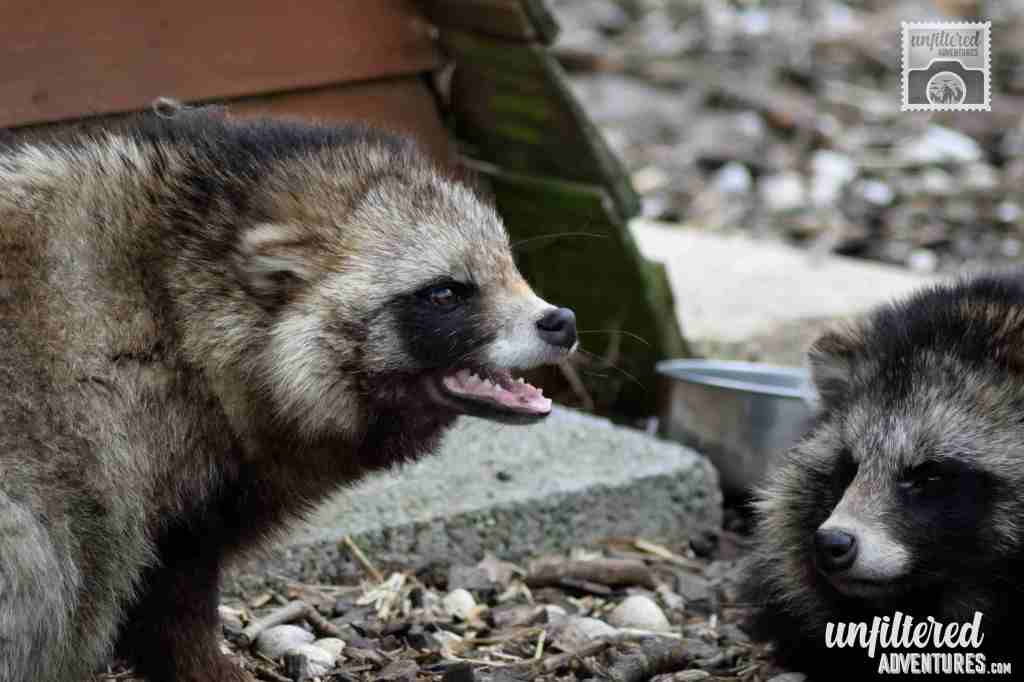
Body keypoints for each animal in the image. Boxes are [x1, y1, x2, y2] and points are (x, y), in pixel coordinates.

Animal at [0, 110, 577, 682]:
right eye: (446, 292)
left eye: (509, 266)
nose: (562, 321)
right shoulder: (145, 435)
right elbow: (171, 588)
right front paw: (201, 662)